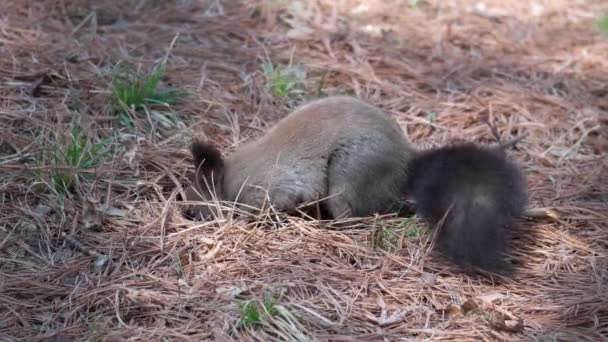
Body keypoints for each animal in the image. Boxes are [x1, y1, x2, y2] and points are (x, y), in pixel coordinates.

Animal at [184, 95, 528, 272]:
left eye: (194, 208)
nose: (186, 216)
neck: (232, 179)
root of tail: (406, 162)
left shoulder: (272, 189)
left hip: (352, 173)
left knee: (355, 213)